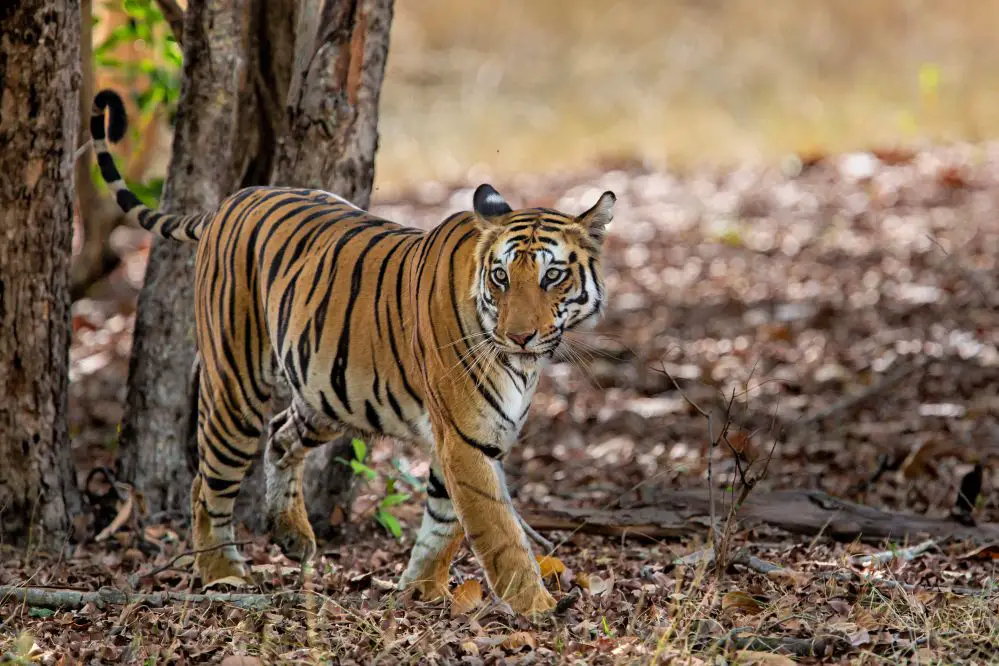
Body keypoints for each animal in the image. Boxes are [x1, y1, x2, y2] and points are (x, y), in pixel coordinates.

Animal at [92, 88, 616, 612]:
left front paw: (422, 588)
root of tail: (231, 200)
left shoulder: (460, 436)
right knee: (208, 480)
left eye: (552, 275)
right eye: (501, 277)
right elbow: (498, 530)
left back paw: (292, 533)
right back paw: (222, 572)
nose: (519, 336)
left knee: (281, 433)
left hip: (328, 392)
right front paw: (536, 606)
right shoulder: (467, 438)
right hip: (235, 386)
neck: (522, 365)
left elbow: (443, 519)